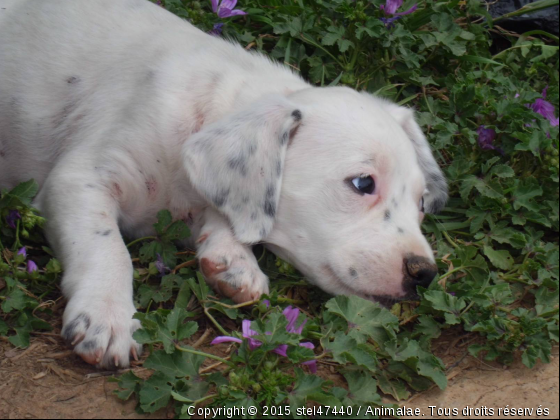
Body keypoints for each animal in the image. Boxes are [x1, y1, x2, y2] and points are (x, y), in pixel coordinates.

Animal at [0, 0, 446, 368]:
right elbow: (107, 246)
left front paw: (232, 259)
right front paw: (107, 315)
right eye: (362, 183)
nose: (424, 274)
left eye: (421, 202)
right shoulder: (81, 178)